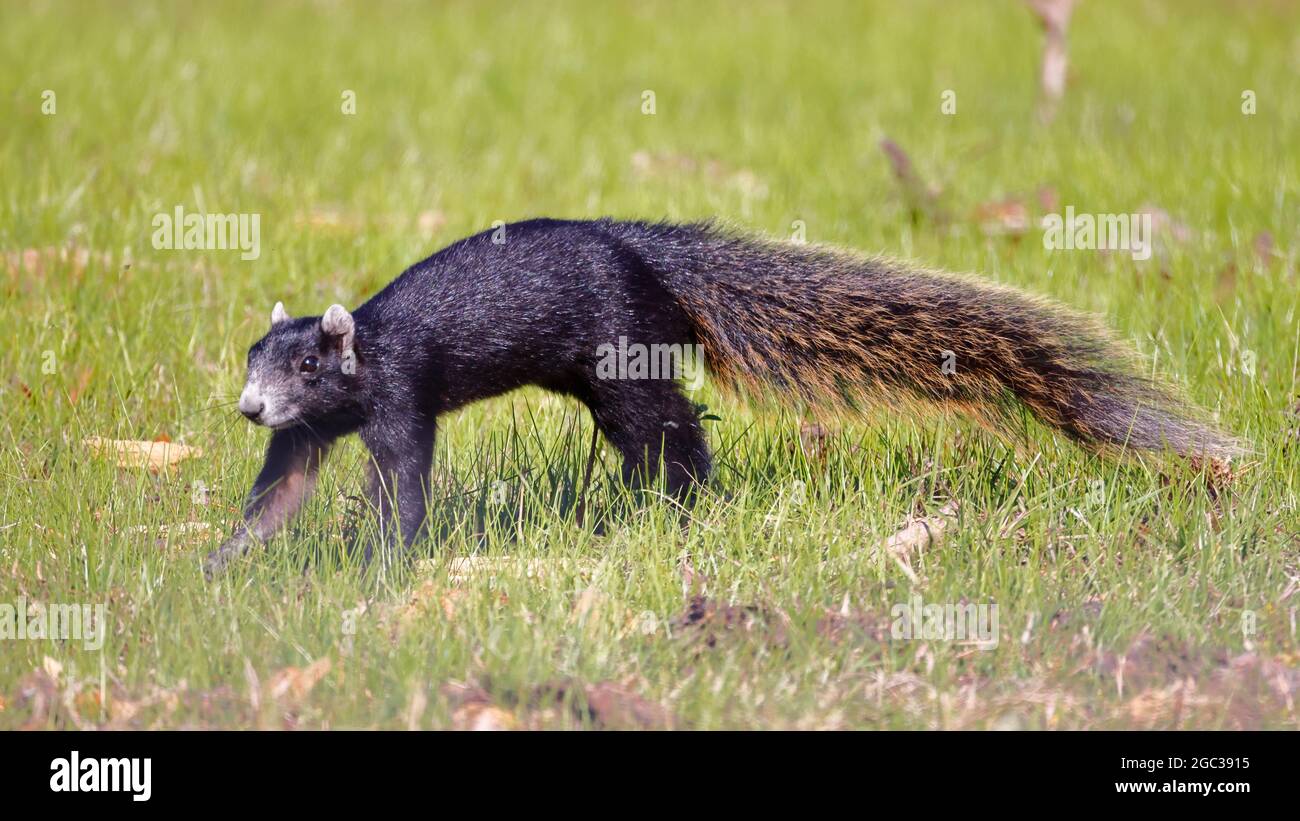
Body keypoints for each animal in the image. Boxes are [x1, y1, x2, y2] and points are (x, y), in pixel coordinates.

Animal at [200, 218, 1237, 574]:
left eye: (306, 367)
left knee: (677, 437)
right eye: (251, 362)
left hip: (624, 370)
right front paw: (223, 561)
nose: (250, 407)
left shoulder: (402, 400)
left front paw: (381, 561)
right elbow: (278, 495)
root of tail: (653, 256)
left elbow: (405, 485)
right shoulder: (303, 440)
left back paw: (680, 507)